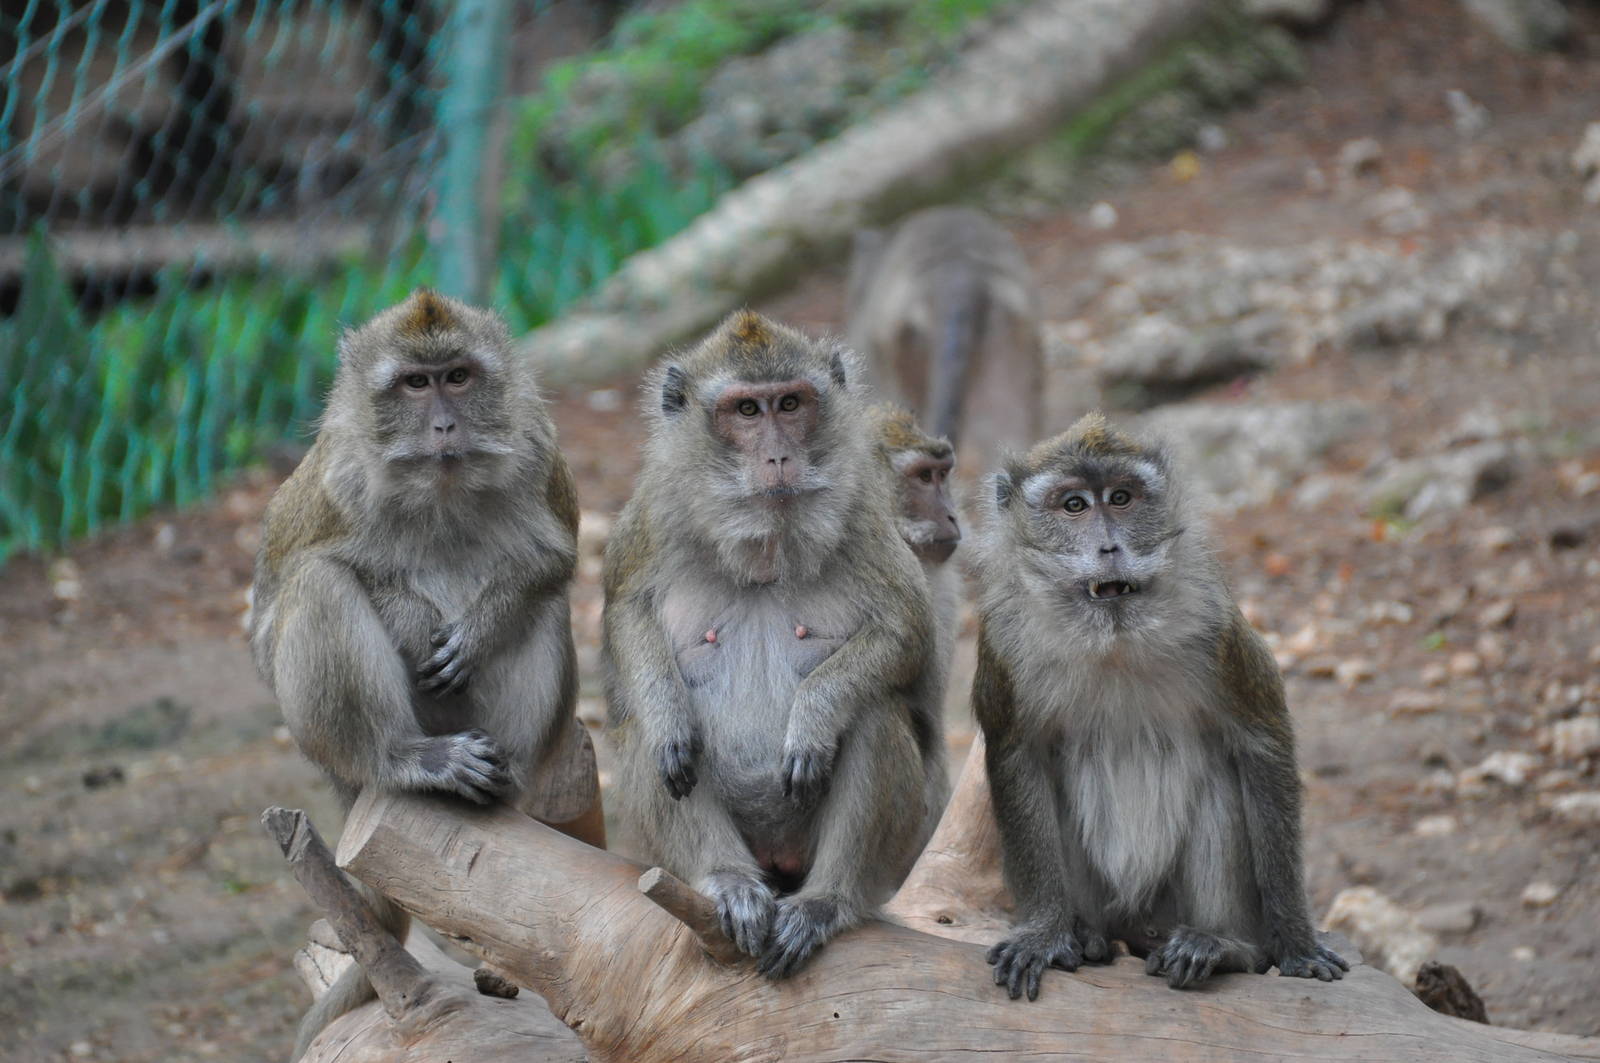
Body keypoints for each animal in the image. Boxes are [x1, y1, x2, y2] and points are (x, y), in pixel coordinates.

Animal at [247, 289, 587, 1059]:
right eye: (413, 384)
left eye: (457, 377)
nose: (443, 424)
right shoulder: (336, 476)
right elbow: (280, 599)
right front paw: (408, 616)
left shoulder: (537, 446)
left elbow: (552, 562)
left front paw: (483, 624)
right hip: (345, 745)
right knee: (320, 581)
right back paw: (406, 760)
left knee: (548, 607)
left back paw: (505, 783)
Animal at [601, 310, 947, 979]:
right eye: (746, 411)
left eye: (790, 404)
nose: (779, 455)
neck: (765, 544)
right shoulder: (655, 506)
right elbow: (627, 613)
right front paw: (667, 717)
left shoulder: (868, 508)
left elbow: (906, 631)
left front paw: (813, 715)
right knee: (646, 742)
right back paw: (727, 879)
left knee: (875, 715)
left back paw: (826, 901)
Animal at [972, 412, 1348, 1000]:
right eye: (1074, 505)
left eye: (1121, 498)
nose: (1110, 547)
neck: (1114, 641)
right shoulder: (1005, 639)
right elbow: (1018, 758)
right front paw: (1043, 933)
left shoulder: (1216, 625)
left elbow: (1262, 745)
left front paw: (1296, 942)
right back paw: (1085, 936)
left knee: (1220, 784)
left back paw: (1224, 946)